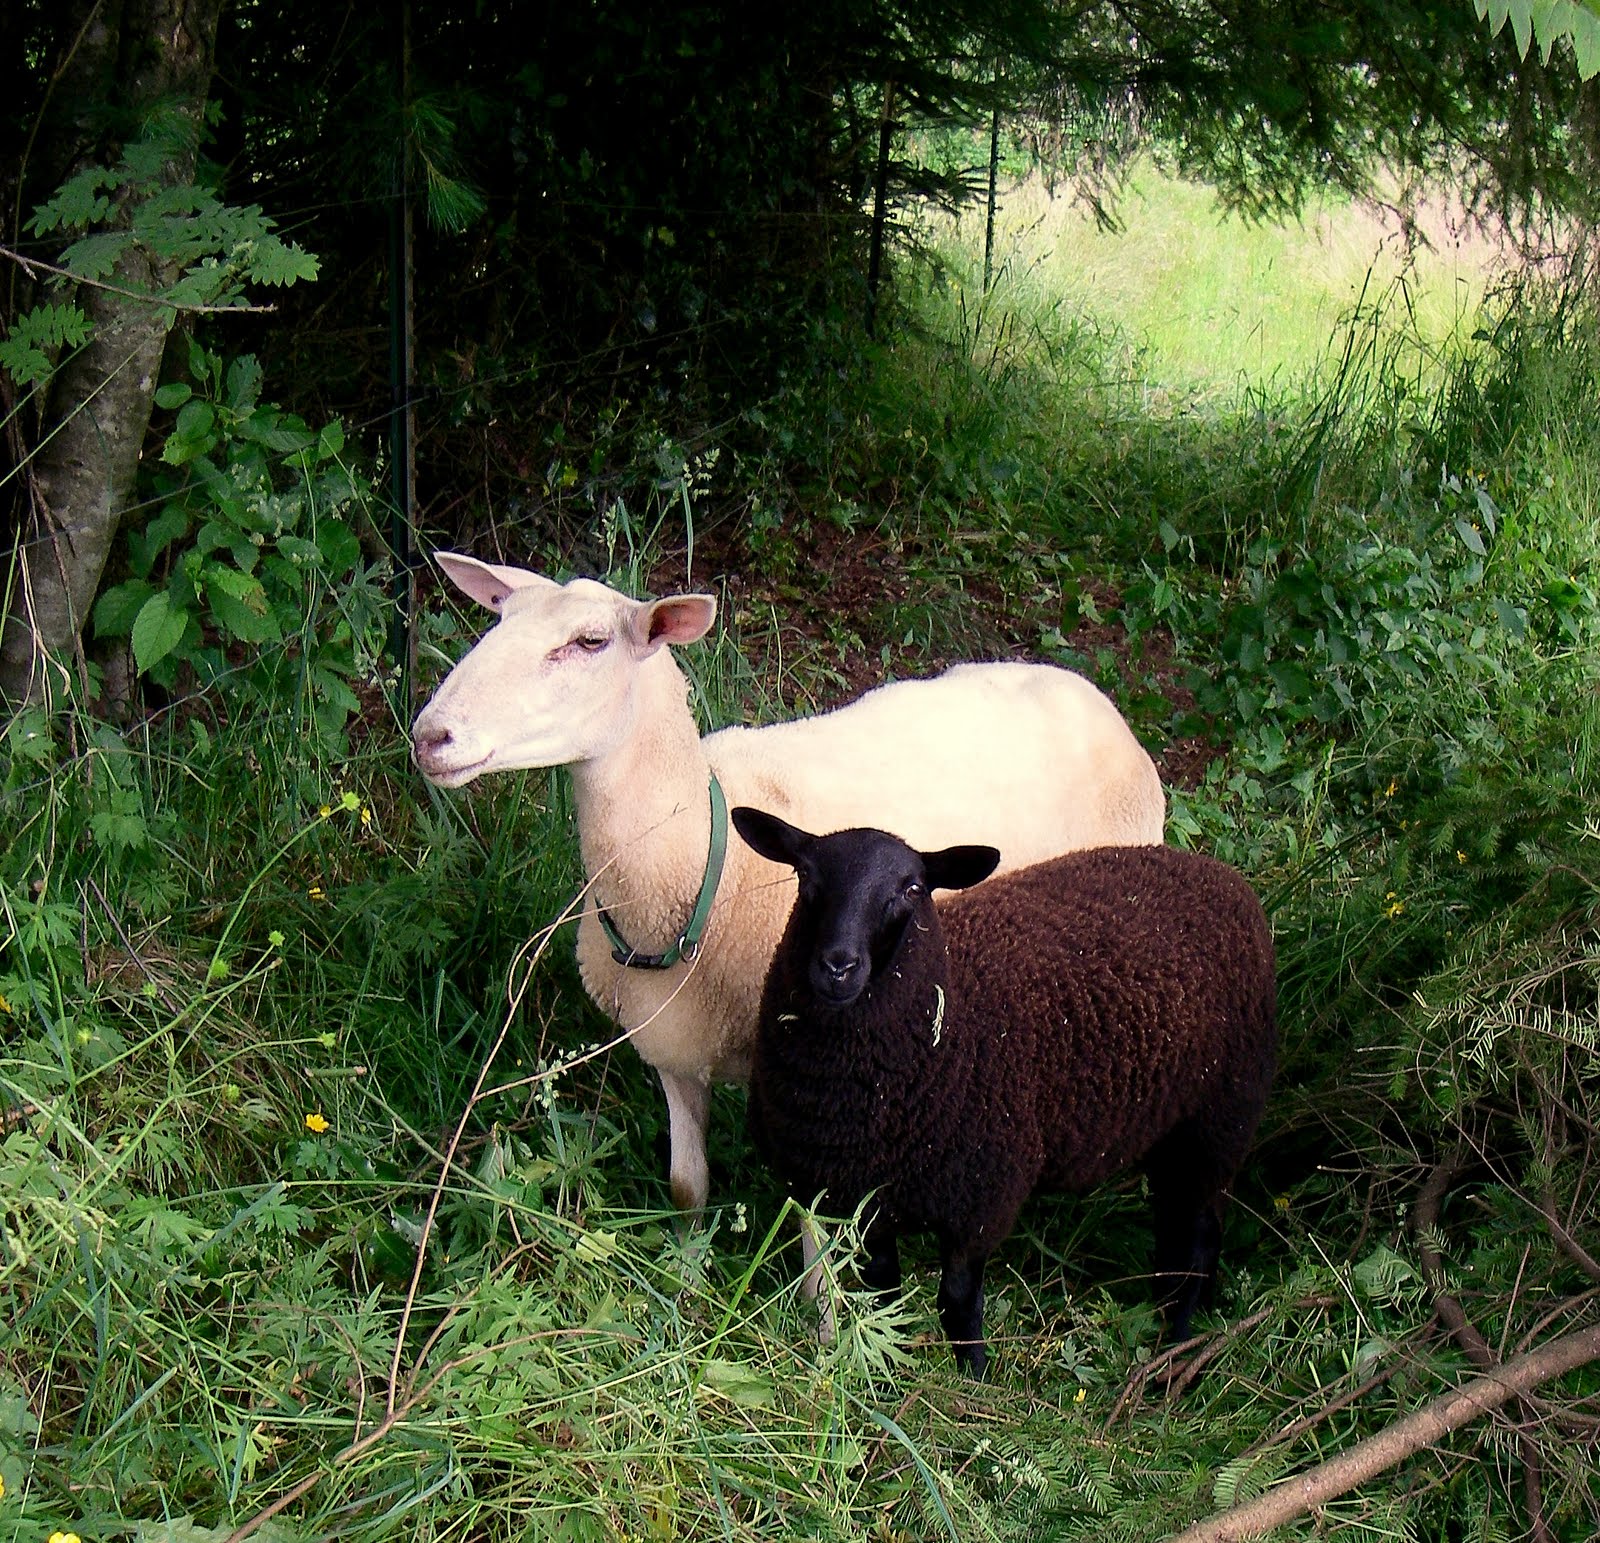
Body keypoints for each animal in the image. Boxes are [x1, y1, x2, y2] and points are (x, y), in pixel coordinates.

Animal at [410, 551, 1167, 1224]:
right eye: (497, 620)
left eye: (589, 642)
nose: (429, 735)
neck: (695, 867)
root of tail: (1093, 696)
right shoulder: (672, 1048)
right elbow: (687, 1189)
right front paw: (685, 1269)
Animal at [732, 806, 1277, 1378]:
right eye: (806, 875)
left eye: (911, 889)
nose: (838, 966)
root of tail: (1220, 874)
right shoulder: (865, 1197)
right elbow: (883, 1292)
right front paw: (890, 1370)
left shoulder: (981, 1196)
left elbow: (957, 1302)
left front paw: (974, 1379)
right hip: (1174, 1128)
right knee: (1175, 1230)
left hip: (1221, 1117)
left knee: (1198, 1241)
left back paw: (1175, 1352)